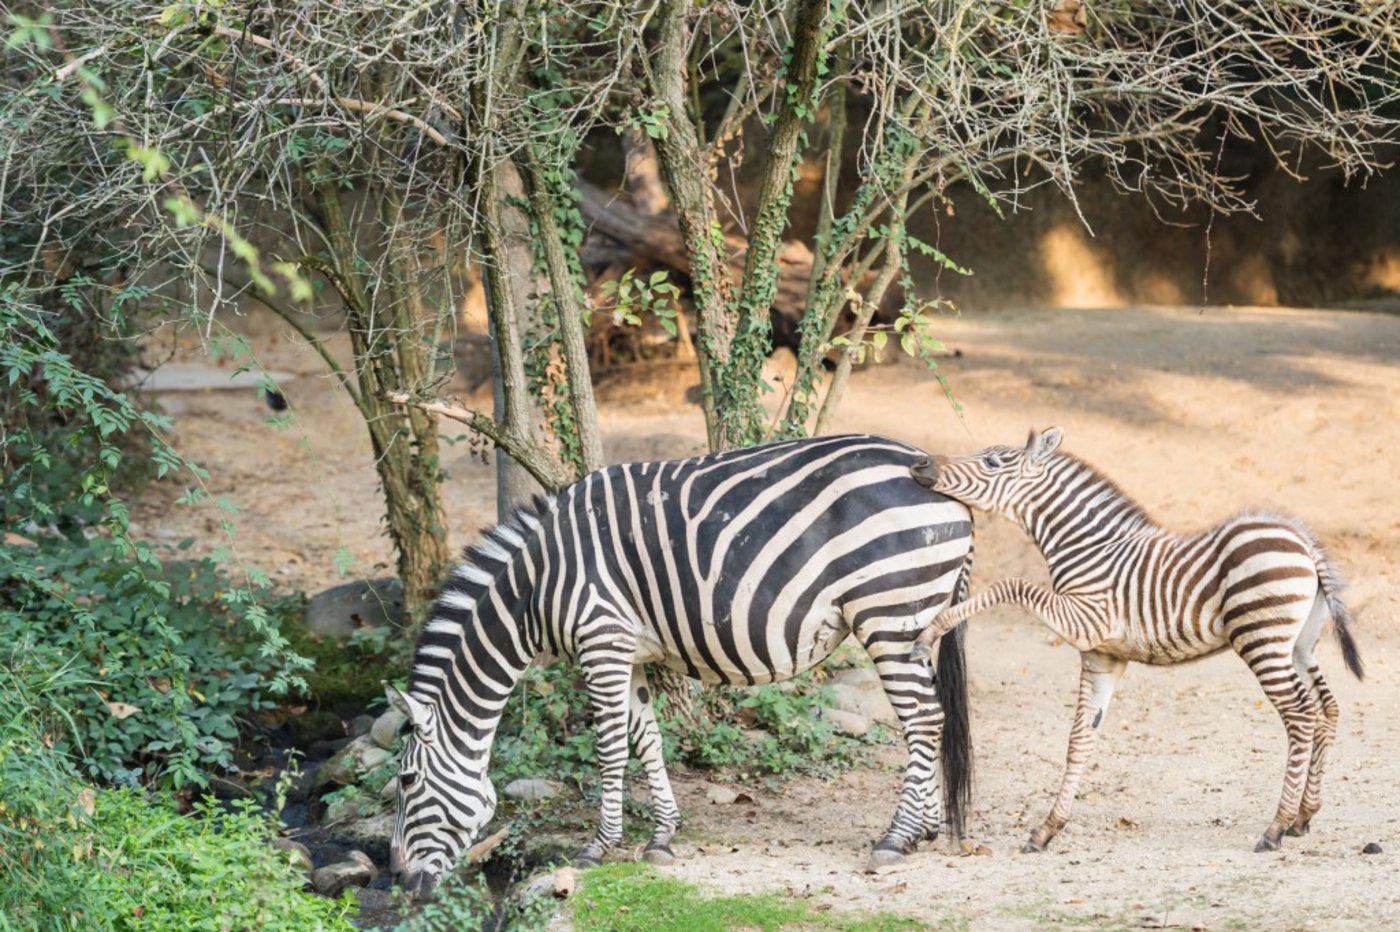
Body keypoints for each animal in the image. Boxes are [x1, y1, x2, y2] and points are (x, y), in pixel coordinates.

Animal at [384, 433, 976, 899]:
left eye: (407, 781)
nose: (400, 885)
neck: (532, 588)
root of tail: (936, 471)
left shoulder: (601, 640)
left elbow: (610, 749)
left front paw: (598, 847)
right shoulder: (629, 653)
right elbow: (647, 739)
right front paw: (663, 836)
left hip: (889, 612)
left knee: (923, 719)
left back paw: (896, 838)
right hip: (918, 620)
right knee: (932, 717)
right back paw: (924, 829)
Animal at [907, 426, 1364, 855]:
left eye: (992, 463)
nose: (920, 464)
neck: (1089, 547)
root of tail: (1304, 541)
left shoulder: (1084, 620)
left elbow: (1011, 585)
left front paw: (932, 629)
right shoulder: (1101, 656)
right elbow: (1079, 740)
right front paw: (1047, 830)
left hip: (1261, 640)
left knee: (1301, 715)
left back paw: (1275, 828)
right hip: (1299, 645)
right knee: (1327, 710)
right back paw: (1304, 815)